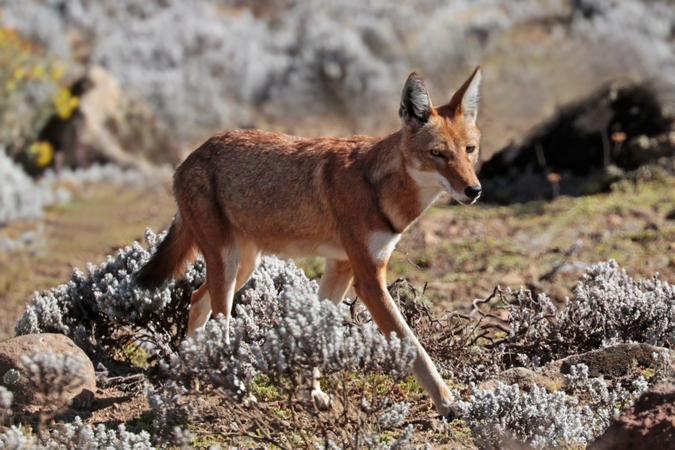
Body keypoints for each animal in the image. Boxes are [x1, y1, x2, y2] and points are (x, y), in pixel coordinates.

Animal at [132, 67, 484, 414]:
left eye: (470, 150)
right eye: (437, 154)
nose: (474, 191)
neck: (378, 188)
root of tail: (189, 157)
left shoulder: (342, 267)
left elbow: (317, 331)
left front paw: (312, 393)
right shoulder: (369, 280)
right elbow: (414, 346)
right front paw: (447, 401)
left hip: (243, 267)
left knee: (195, 299)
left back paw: (191, 375)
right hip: (229, 266)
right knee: (220, 323)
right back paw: (238, 391)